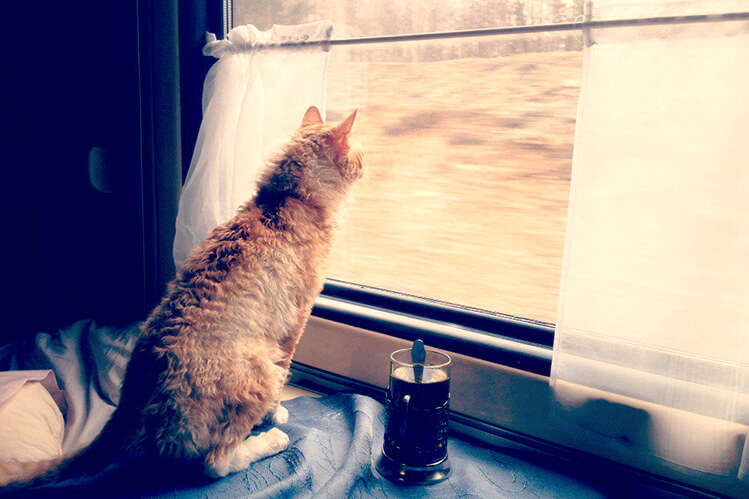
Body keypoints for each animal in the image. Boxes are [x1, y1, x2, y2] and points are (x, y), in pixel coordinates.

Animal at [5, 105, 362, 488]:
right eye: (359, 154)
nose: (365, 163)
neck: (284, 198)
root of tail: (136, 392)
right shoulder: (295, 324)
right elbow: (285, 374)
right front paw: (276, 415)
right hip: (258, 369)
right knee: (214, 463)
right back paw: (266, 442)